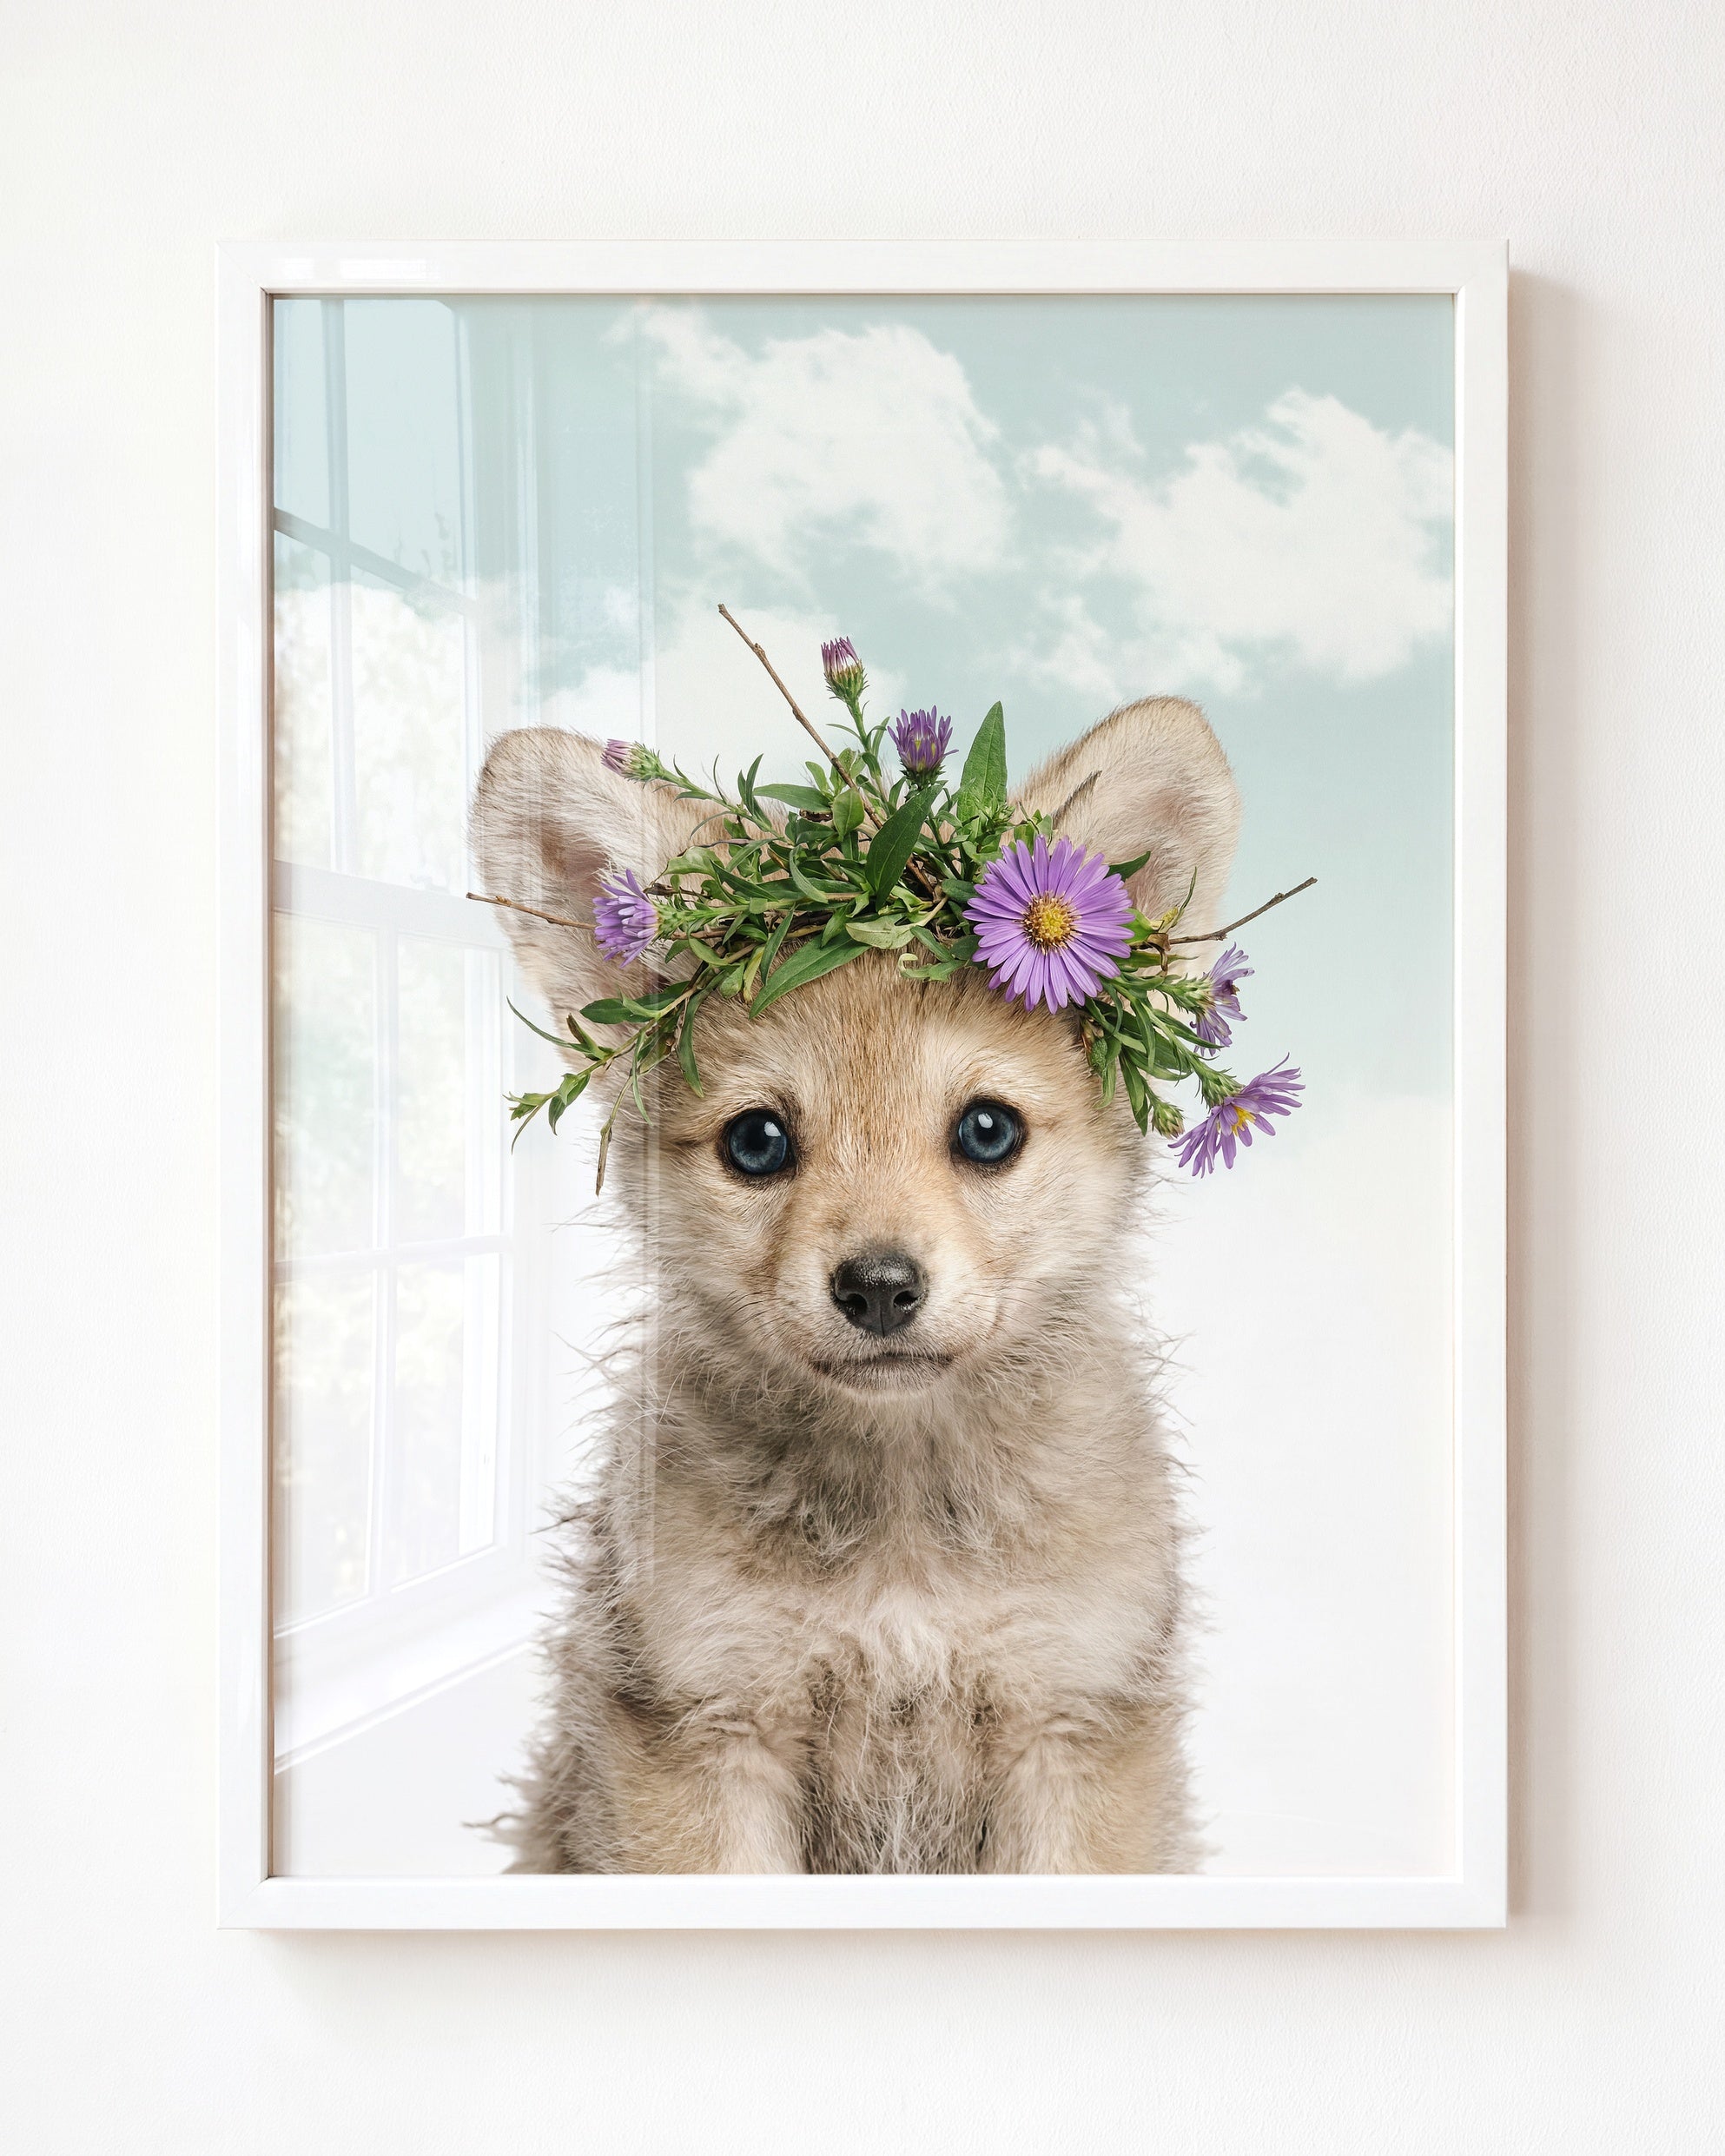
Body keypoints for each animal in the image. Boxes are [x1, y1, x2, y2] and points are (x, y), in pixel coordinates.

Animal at [470, 696, 1239, 1873]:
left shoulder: (1070, 1722)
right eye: (756, 1141)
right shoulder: (708, 1728)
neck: (902, 1527)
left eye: (987, 1130)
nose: (878, 1287)